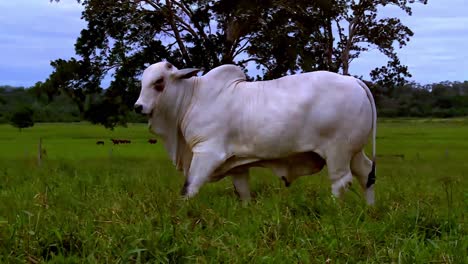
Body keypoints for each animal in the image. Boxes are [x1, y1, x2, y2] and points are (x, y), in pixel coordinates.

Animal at [134, 61, 376, 204]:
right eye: (142, 82)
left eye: (159, 82)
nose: (138, 107)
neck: (193, 96)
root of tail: (354, 81)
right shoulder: (237, 164)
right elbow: (243, 193)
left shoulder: (207, 152)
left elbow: (189, 188)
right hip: (354, 152)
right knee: (366, 173)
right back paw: (369, 209)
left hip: (338, 151)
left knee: (341, 181)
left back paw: (334, 209)